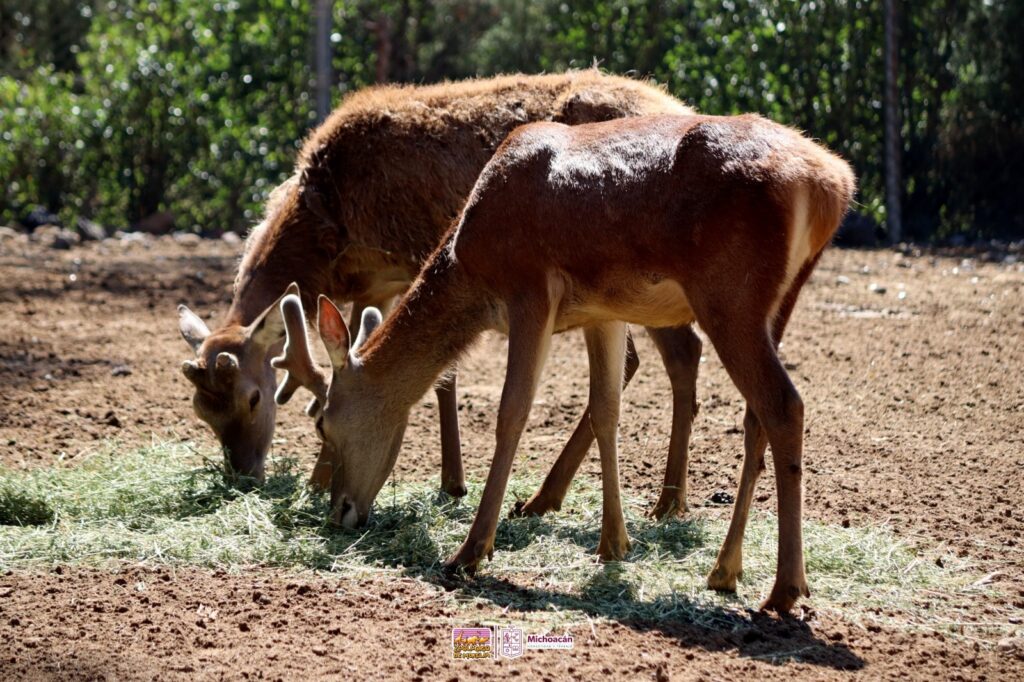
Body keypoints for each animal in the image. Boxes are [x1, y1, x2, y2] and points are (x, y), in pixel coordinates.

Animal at [176, 67, 704, 516]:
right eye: (202, 413)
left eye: (253, 398)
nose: (243, 474)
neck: (328, 227)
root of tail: (675, 102)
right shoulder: (376, 285)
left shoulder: (416, 254)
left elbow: (439, 379)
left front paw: (445, 481)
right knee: (658, 355)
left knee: (676, 351)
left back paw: (656, 502)